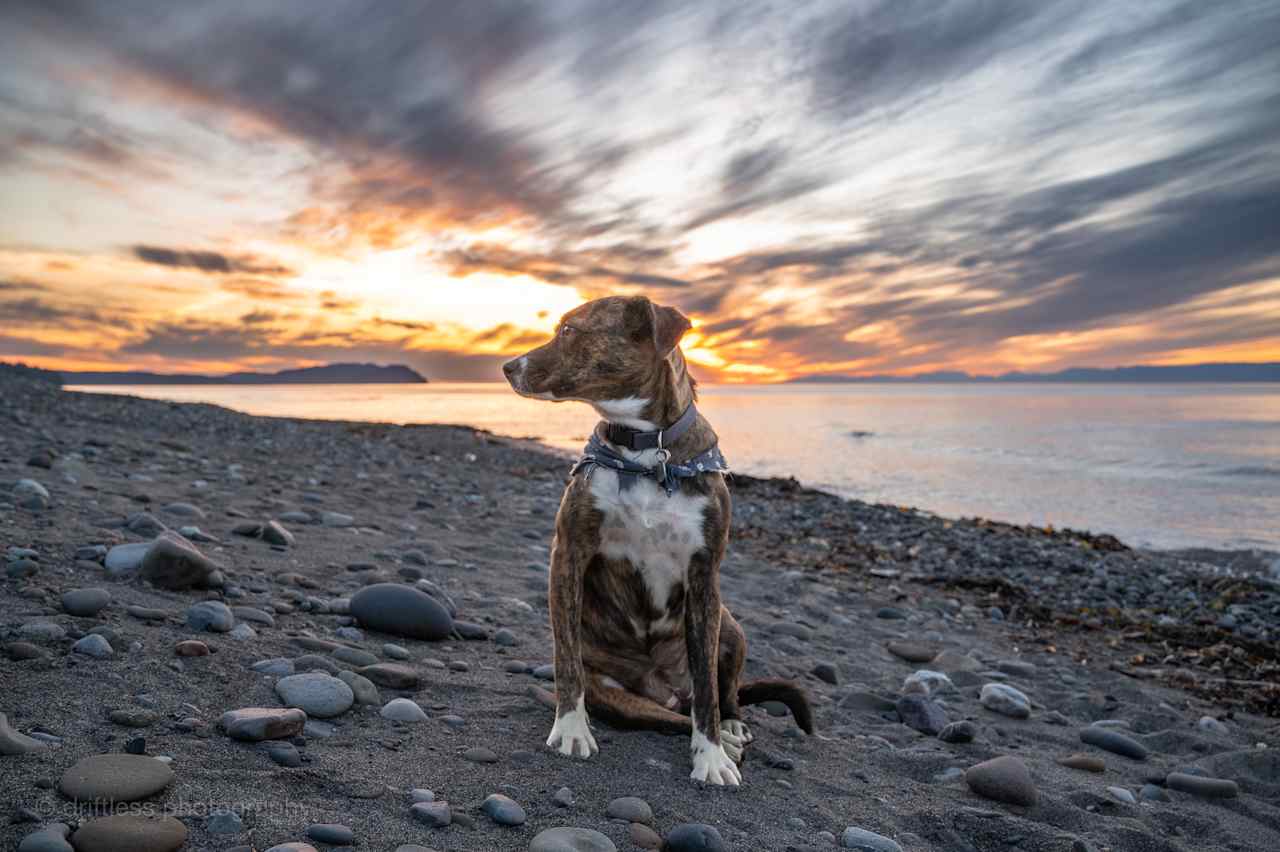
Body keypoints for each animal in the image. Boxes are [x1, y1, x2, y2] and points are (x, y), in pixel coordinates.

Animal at [499, 294, 808, 782]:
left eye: (568, 330)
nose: (509, 367)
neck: (645, 450)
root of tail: (662, 689)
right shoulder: (567, 554)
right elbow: (566, 658)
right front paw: (570, 729)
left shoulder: (704, 574)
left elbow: (708, 690)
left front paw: (711, 756)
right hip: (619, 694)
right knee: (663, 714)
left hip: (731, 625)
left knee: (719, 695)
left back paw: (731, 729)